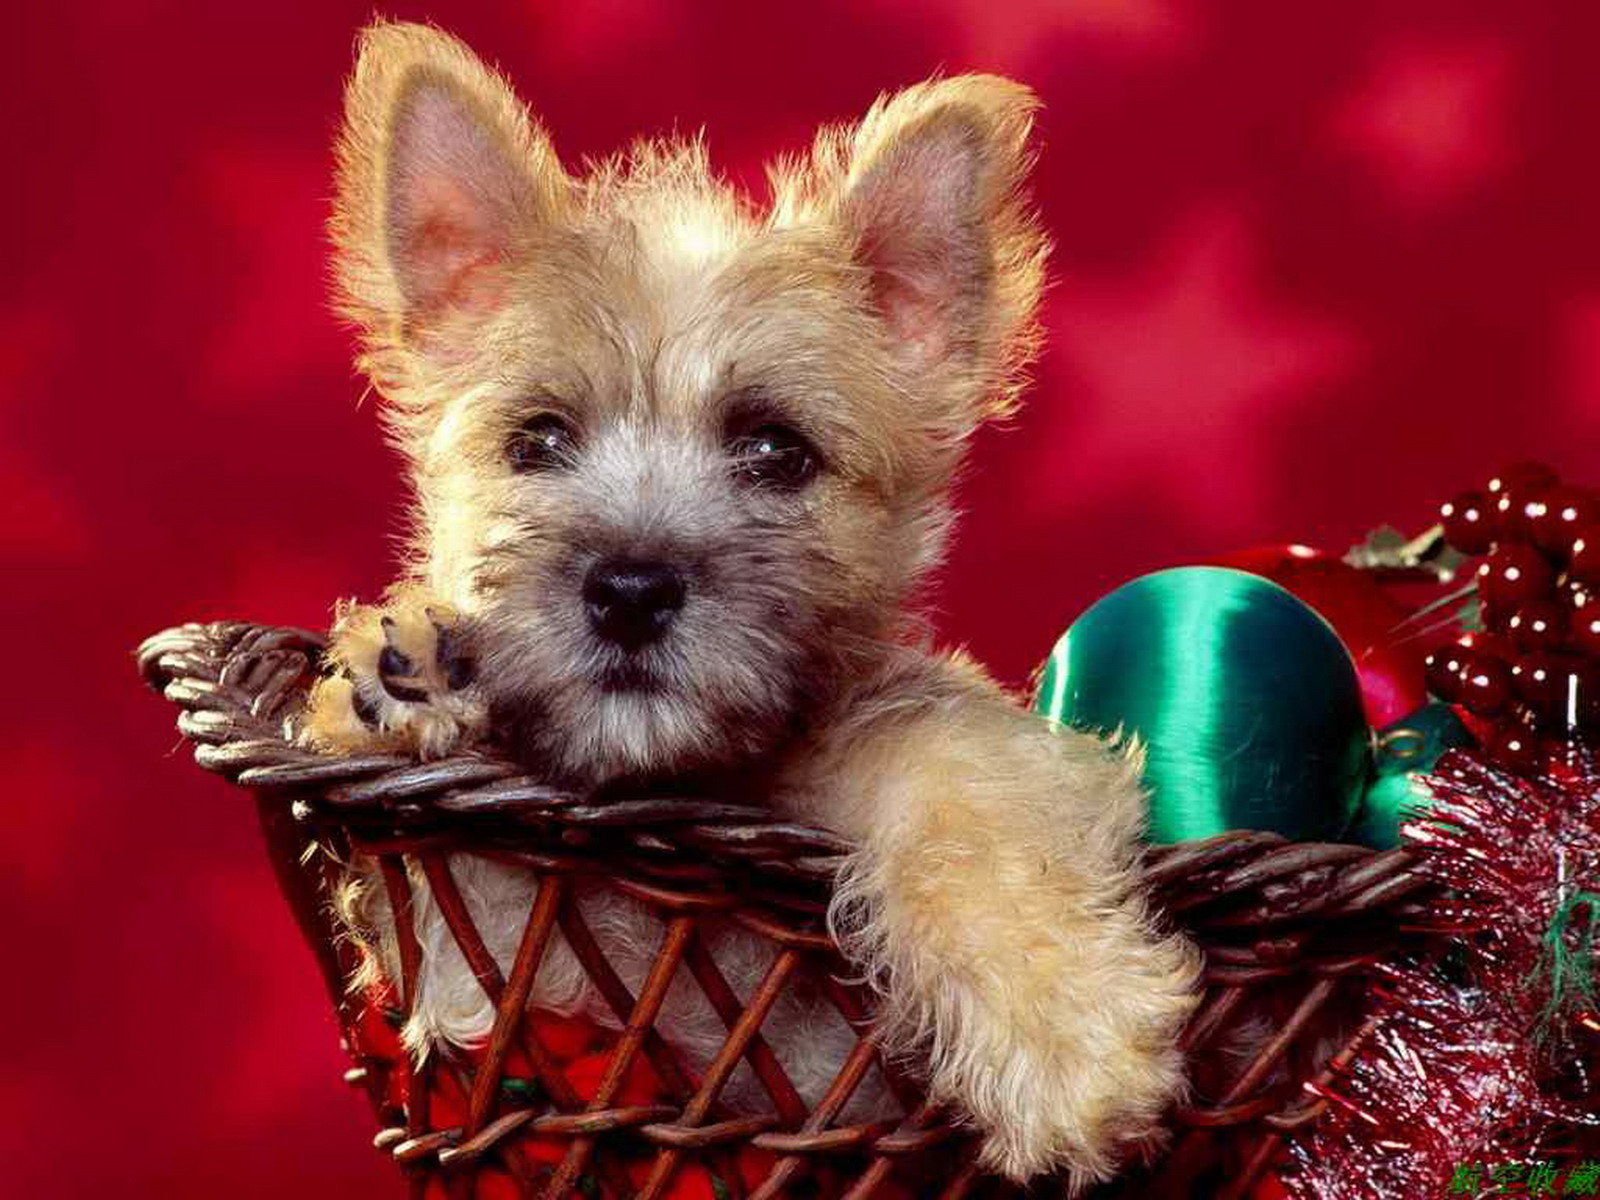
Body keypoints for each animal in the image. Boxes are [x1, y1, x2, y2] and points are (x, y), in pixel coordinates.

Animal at [300, 21, 1201, 1189]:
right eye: (536, 440)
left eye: (776, 451)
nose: (630, 590)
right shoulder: (508, 1008)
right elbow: (470, 924)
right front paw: (403, 671)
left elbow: (960, 782)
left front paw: (1066, 1038)